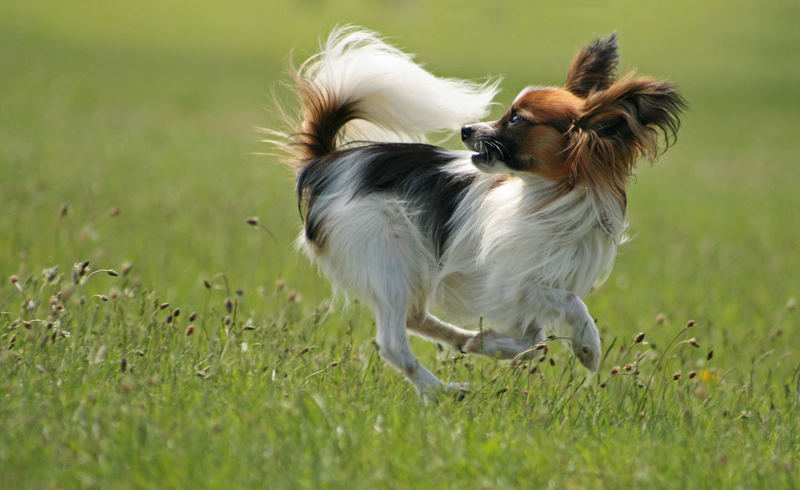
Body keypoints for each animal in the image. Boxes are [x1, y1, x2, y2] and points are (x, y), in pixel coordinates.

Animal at [272, 26, 684, 396]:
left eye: (517, 119)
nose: (466, 129)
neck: (553, 196)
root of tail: (328, 161)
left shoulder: (529, 291)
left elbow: (534, 344)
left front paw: (487, 344)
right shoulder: (513, 283)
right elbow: (568, 307)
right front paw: (588, 347)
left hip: (410, 268)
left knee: (414, 318)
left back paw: (461, 339)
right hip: (390, 256)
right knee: (393, 343)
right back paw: (443, 391)